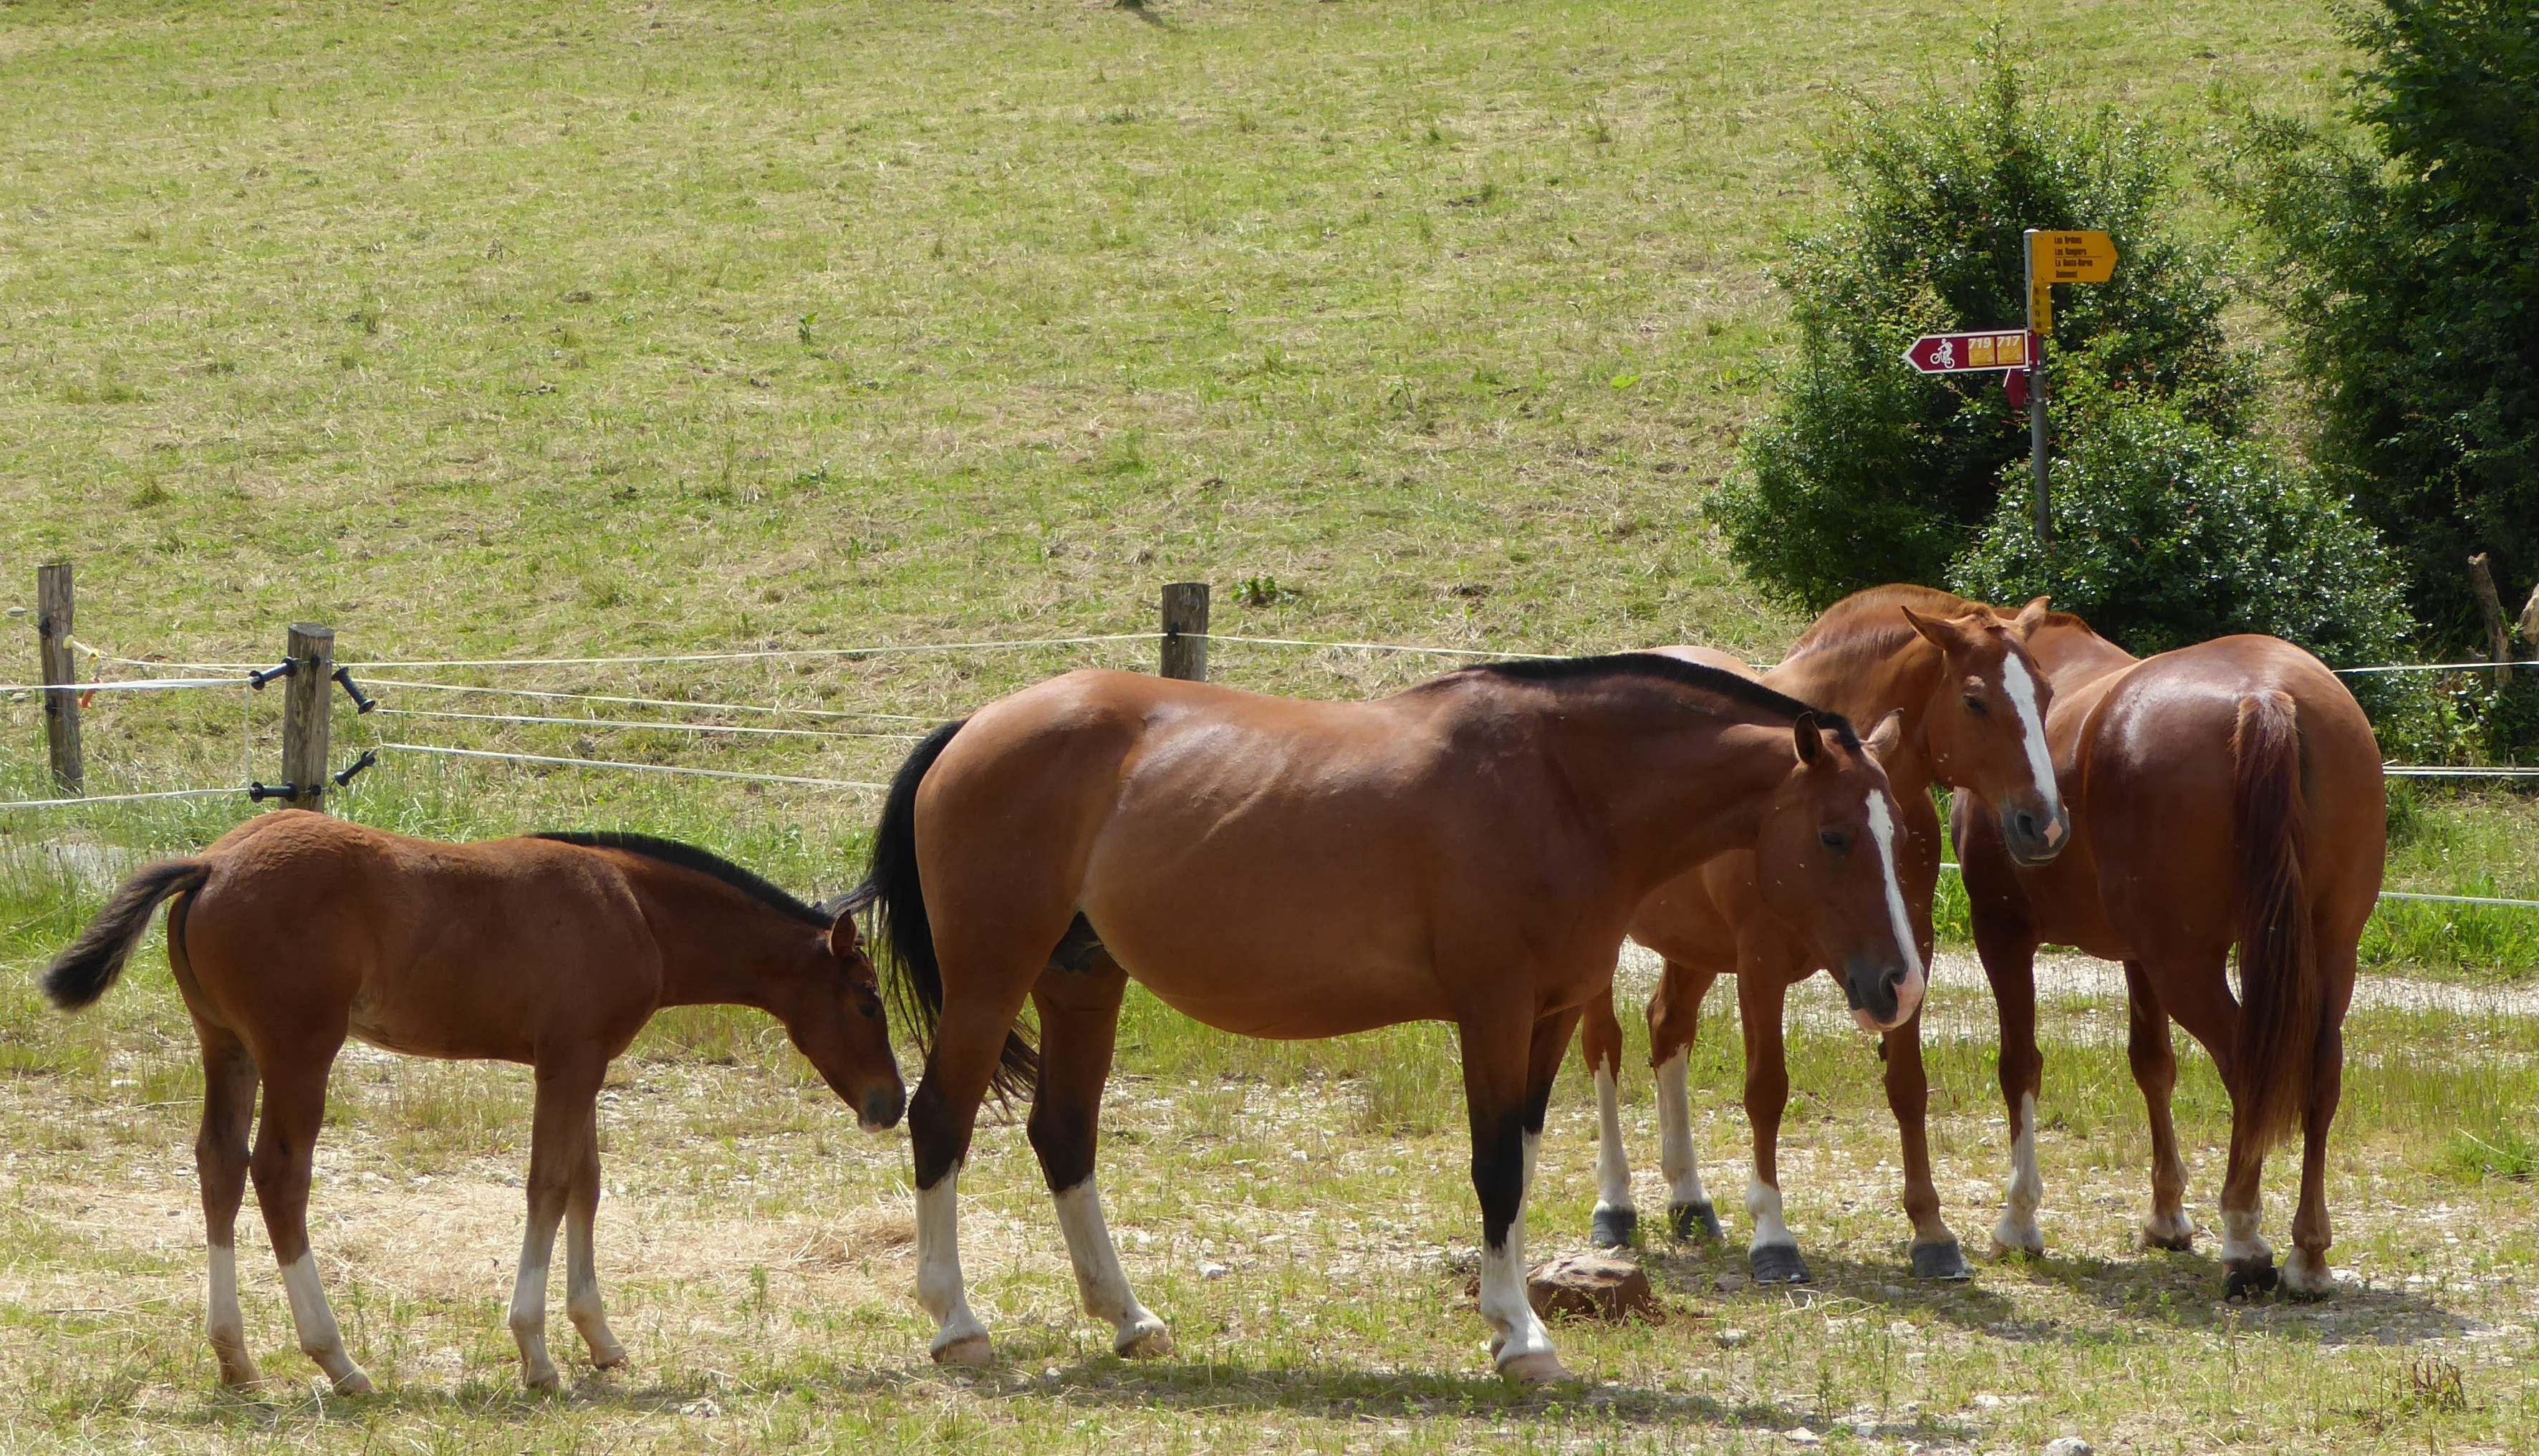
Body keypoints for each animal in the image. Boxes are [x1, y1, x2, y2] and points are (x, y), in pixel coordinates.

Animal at [39, 813, 904, 1392]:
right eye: (868, 1001)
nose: (890, 1102)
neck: (634, 907)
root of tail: (211, 863)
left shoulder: (582, 1063)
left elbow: (585, 1184)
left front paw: (600, 1338)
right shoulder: (568, 1062)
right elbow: (549, 1186)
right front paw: (536, 1351)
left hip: (226, 1046)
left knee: (217, 1165)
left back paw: (235, 1356)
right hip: (298, 1052)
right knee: (279, 1176)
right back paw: (339, 1359)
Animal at [853, 650, 1919, 1382]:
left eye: (1897, 828)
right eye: (1833, 835)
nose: (1897, 986)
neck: (1561, 785)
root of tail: (973, 726)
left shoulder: (1550, 1016)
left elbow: (1521, 1158)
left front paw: (1510, 1316)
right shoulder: (1491, 1011)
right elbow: (1494, 1168)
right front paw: (1521, 1339)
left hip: (1081, 981)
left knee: (1064, 1134)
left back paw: (1128, 1317)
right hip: (992, 978)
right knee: (941, 1122)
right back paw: (958, 1325)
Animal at [1574, 584, 2071, 1276]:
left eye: (2046, 693)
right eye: (1975, 699)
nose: (2043, 825)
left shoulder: (1906, 953)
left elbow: (1907, 1084)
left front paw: (1931, 1230)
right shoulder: (1759, 962)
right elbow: (1766, 1088)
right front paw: (1772, 1235)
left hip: (1692, 948)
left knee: (1667, 1027)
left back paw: (1689, 1200)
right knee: (1605, 1044)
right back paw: (1615, 1203)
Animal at [1950, 607, 2386, 1291]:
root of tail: (2266, 693)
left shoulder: (2001, 932)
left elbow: (2019, 1065)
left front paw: (2017, 1223)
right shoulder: (2138, 957)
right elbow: (2152, 1065)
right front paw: (2166, 1215)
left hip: (2189, 967)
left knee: (2244, 1064)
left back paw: (2244, 1237)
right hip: (2326, 953)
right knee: (2321, 1073)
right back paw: (2307, 1255)